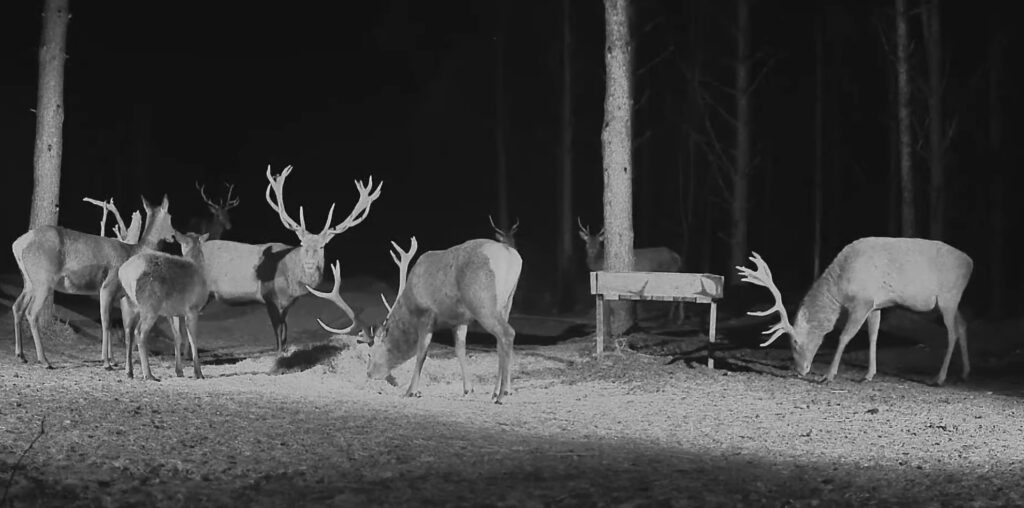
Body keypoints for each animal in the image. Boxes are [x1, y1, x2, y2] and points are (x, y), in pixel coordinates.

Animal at [10, 195, 176, 369]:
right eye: (170, 216)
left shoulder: (119, 294)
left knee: (17, 307)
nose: (173, 235)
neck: (132, 253)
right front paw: (106, 361)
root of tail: (17, 244)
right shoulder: (108, 285)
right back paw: (44, 360)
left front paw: (113, 360)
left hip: (29, 281)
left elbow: (117, 323)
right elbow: (105, 321)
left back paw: (21, 355)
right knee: (31, 312)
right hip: (43, 279)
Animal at [118, 231, 209, 381]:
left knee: (128, 334)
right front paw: (198, 373)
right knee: (139, 332)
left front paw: (179, 371)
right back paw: (148, 375)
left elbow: (177, 337)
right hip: (150, 305)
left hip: (128, 305)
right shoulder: (192, 308)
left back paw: (129, 372)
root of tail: (124, 273)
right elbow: (193, 339)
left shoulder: (172, 312)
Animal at [198, 165, 381, 351]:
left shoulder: (288, 303)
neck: (292, 283)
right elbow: (278, 332)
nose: (309, 263)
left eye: (322, 246)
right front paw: (279, 352)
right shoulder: (268, 297)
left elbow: (285, 331)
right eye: (302, 243)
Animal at [314, 237, 523, 403]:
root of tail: (511, 255)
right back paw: (496, 391)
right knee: (500, 341)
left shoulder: (426, 314)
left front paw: (410, 390)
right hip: (507, 303)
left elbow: (421, 352)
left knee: (507, 333)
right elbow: (460, 349)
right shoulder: (459, 319)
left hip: (481, 300)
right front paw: (467, 388)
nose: (369, 373)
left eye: (369, 354)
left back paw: (503, 394)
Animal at [736, 237, 973, 386]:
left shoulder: (862, 301)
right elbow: (873, 336)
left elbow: (844, 336)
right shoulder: (876, 305)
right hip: (953, 301)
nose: (801, 370)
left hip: (948, 297)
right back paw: (964, 373)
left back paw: (939, 379)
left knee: (952, 332)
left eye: (794, 342)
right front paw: (868, 375)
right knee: (962, 325)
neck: (840, 288)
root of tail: (971, 263)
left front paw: (828, 376)